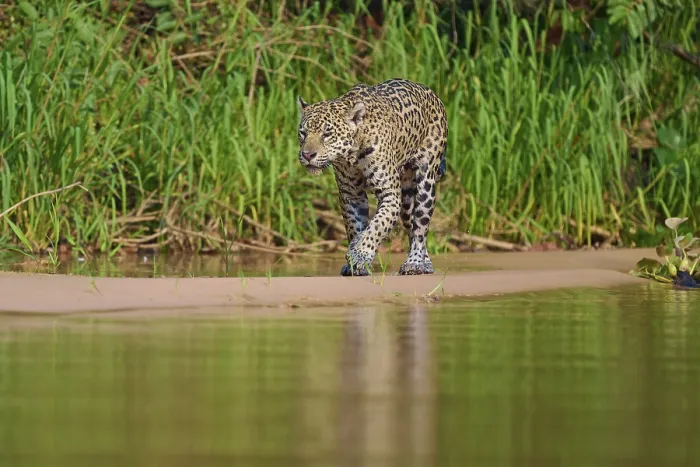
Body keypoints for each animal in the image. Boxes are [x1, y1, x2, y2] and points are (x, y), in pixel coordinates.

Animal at [295, 78, 448, 277]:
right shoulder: (351, 194)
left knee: (421, 227)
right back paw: (424, 261)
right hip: (407, 196)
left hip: (426, 180)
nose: (307, 155)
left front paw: (360, 254)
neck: (351, 155)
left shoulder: (389, 194)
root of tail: (431, 93)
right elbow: (355, 226)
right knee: (411, 225)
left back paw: (415, 263)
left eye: (327, 134)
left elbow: (376, 227)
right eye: (303, 133)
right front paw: (354, 258)